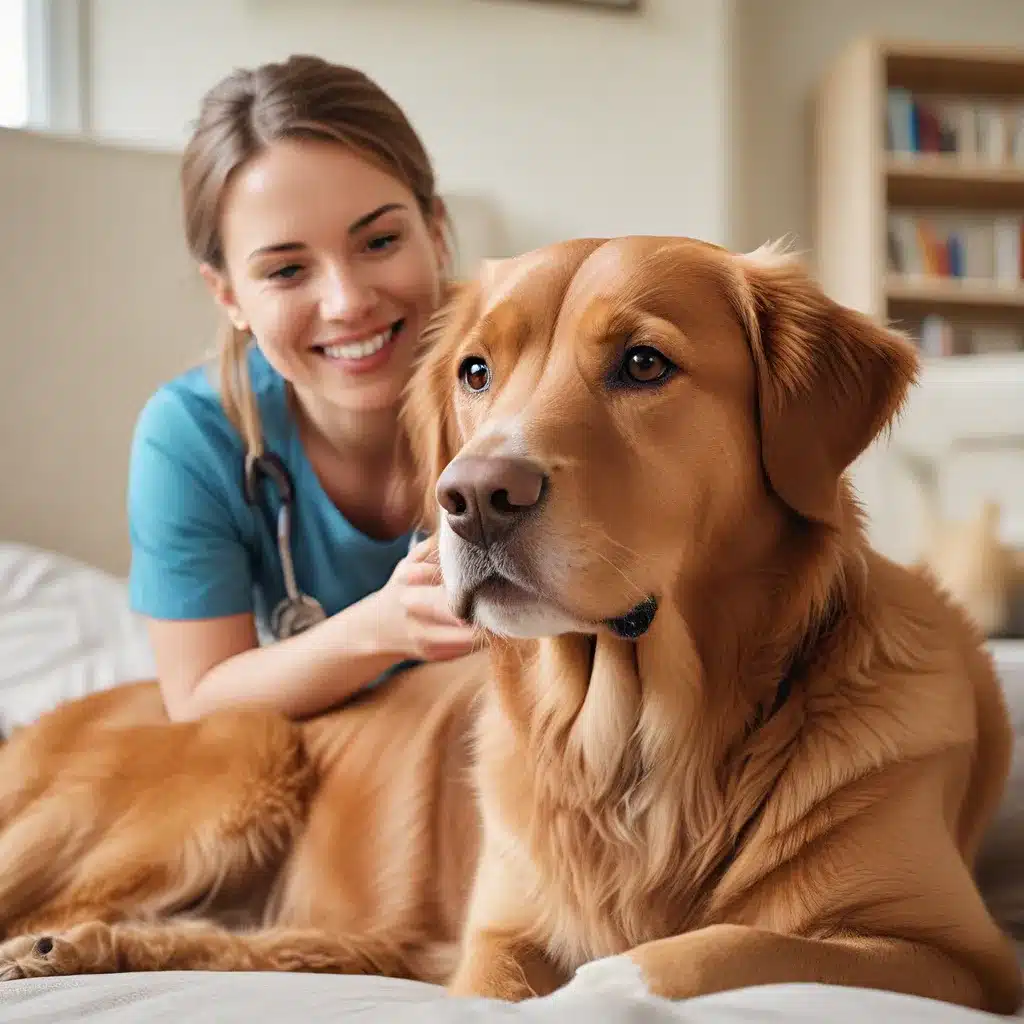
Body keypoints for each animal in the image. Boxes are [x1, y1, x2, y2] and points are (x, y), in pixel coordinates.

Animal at [2, 237, 1024, 1015]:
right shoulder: (497, 938)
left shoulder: (962, 957)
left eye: (644, 363)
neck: (641, 740)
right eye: (476, 373)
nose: (472, 498)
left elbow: (726, 947)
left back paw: (78, 948)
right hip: (247, 749)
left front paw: (597, 988)